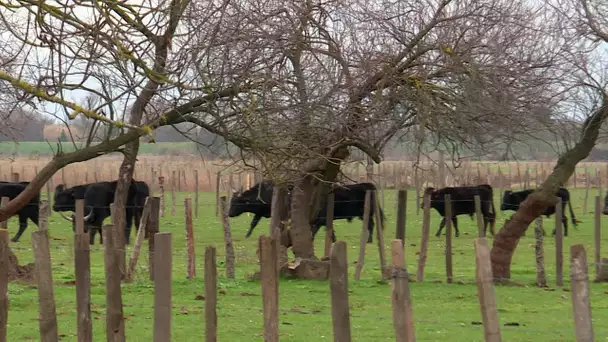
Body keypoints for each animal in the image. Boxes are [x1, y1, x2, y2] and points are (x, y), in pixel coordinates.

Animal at [228, 182, 384, 243]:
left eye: (235, 203)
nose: (229, 214)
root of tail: (367, 185)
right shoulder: (260, 213)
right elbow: (253, 223)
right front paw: (247, 235)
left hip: (366, 214)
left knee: (371, 225)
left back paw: (369, 240)